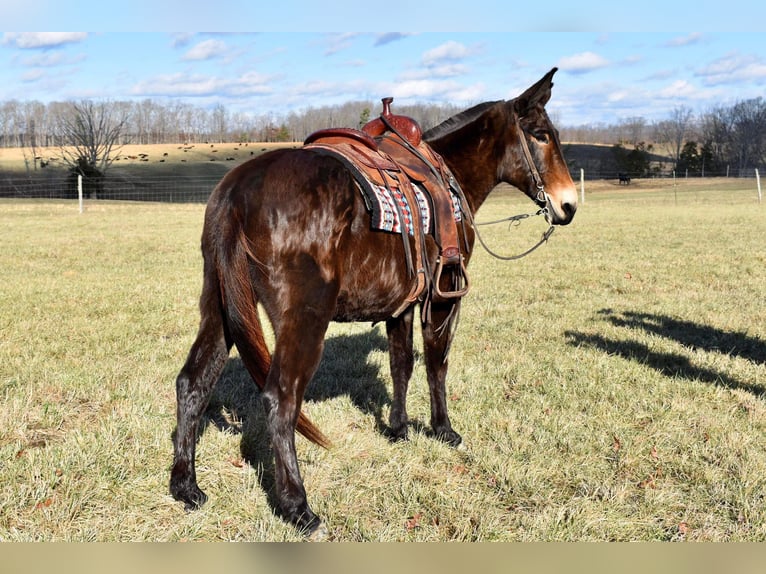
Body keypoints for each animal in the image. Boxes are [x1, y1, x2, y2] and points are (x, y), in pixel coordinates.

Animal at [168, 67, 576, 540]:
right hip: (304, 319)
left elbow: (401, 363)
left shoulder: (401, 303)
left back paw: (186, 486)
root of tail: (237, 193)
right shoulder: (444, 295)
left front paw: (398, 429)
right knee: (280, 398)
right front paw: (443, 429)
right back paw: (298, 507)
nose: (569, 204)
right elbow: (436, 363)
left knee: (193, 382)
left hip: (219, 309)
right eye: (541, 135)